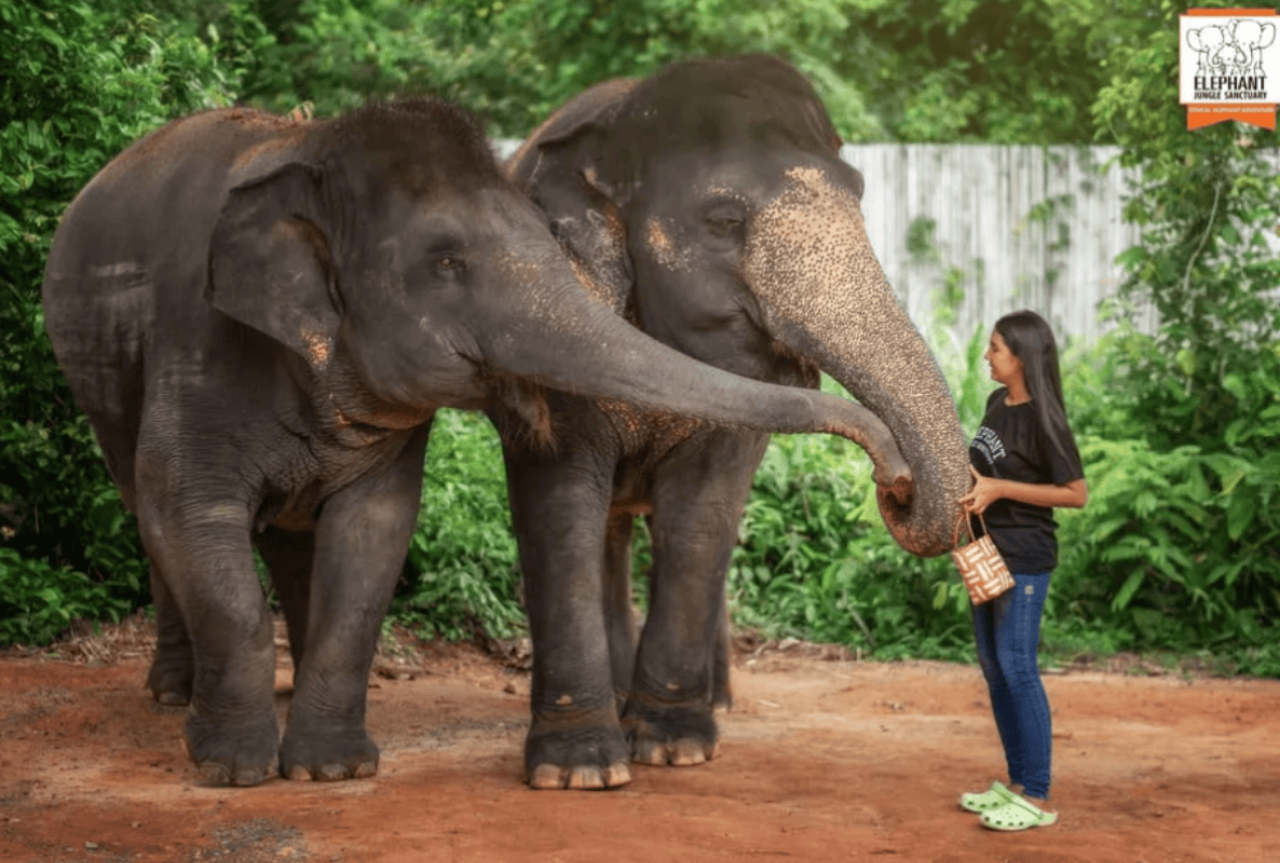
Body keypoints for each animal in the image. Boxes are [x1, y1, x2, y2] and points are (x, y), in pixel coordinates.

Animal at [41, 96, 914, 787]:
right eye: (448, 262)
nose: (899, 481)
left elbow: (374, 534)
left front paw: (330, 770)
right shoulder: (197, 348)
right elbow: (191, 519)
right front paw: (235, 770)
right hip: (95, 371)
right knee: (146, 508)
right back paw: (170, 694)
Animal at [496, 54, 971, 791]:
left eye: (860, 195)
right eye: (723, 219)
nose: (896, 482)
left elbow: (702, 513)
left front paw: (673, 746)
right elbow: (560, 506)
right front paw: (578, 770)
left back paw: (713, 699)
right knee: (607, 529)